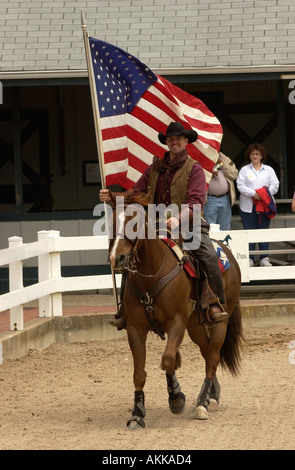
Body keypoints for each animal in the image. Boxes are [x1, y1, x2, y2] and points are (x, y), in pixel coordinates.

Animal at [107, 192, 244, 430]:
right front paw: (137, 413)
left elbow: (169, 359)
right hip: (195, 326)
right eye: (113, 221)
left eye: (135, 223)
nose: (118, 258)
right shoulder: (135, 328)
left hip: (220, 322)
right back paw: (212, 395)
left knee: (213, 358)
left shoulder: (177, 323)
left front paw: (176, 398)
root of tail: (228, 256)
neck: (151, 275)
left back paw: (202, 404)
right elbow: (139, 373)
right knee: (206, 352)